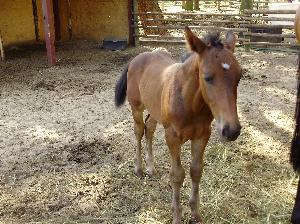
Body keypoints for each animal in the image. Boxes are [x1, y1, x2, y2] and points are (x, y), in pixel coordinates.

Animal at [114, 27, 241, 223]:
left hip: (155, 110)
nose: (232, 130)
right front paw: (176, 215)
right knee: (139, 131)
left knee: (149, 128)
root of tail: (137, 58)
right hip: (136, 107)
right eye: (207, 77)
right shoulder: (172, 137)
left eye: (239, 76)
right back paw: (139, 169)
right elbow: (177, 175)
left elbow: (196, 170)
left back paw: (151, 168)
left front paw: (195, 214)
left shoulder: (202, 135)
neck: (190, 103)